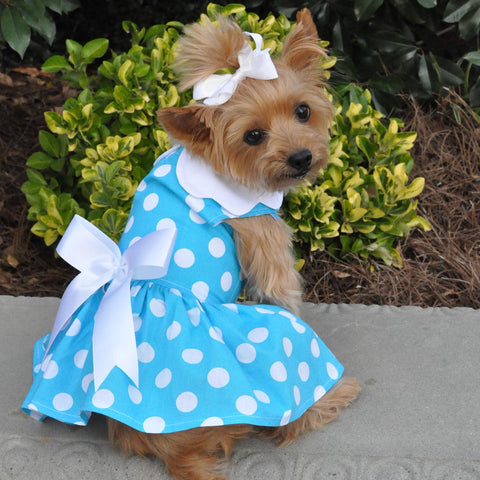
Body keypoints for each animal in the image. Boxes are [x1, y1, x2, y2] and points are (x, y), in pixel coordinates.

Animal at [105, 8, 360, 480]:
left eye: (303, 111)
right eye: (253, 136)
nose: (301, 158)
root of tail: (173, 452)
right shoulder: (264, 236)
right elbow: (283, 292)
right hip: (276, 346)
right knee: (284, 424)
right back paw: (334, 394)